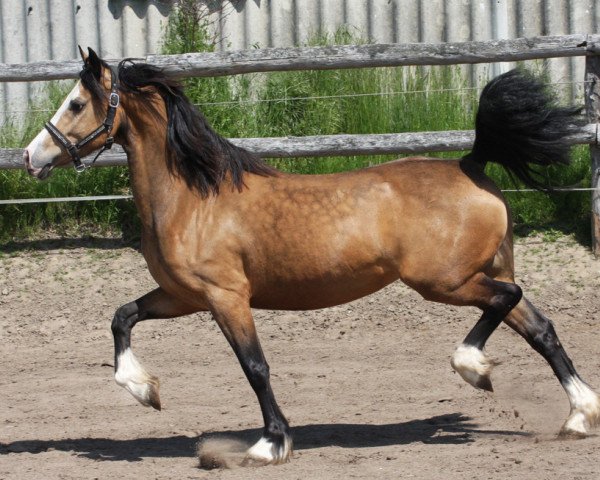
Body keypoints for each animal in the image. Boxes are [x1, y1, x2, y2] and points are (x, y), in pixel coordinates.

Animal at [23, 48, 600, 464]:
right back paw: (578, 415)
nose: (31, 157)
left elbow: (255, 366)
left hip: (447, 282)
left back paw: (474, 367)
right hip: (474, 274)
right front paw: (145, 391)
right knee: (539, 327)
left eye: (76, 104)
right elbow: (122, 317)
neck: (194, 196)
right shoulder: (182, 295)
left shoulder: (225, 296)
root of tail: (471, 164)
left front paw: (270, 443)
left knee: (508, 299)